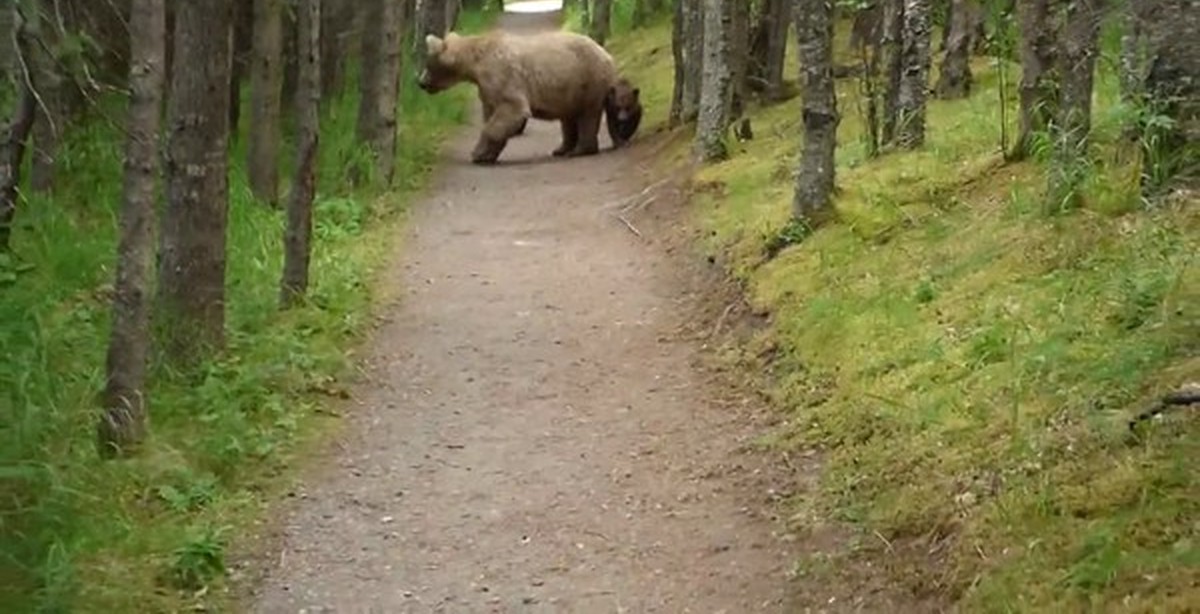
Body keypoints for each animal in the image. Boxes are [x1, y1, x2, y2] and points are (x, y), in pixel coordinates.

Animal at [417, 29, 619, 164]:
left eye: (428, 64)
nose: (421, 83)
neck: (476, 63)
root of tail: (607, 54)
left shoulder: (502, 75)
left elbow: (511, 110)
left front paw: (478, 154)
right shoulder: (487, 88)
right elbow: (491, 112)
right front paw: (487, 154)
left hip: (589, 78)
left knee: (587, 114)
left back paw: (580, 150)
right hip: (572, 87)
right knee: (568, 118)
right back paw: (561, 149)